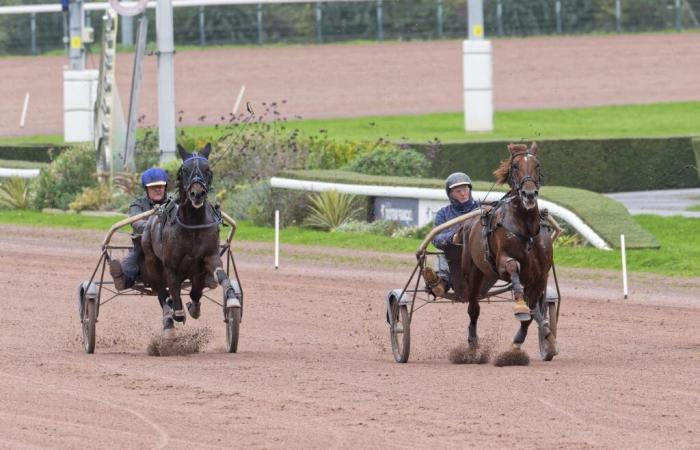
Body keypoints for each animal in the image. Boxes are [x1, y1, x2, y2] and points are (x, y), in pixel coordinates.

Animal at [141, 142, 242, 336]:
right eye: (185, 170)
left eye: (207, 169)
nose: (197, 193)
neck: (193, 224)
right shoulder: (171, 266)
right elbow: (174, 295)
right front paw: (177, 313)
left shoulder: (207, 259)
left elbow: (212, 280)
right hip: (151, 261)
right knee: (162, 292)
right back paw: (169, 317)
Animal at [460, 142, 556, 356]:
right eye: (515, 166)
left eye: (537, 165)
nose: (529, 194)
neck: (527, 229)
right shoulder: (503, 262)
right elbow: (513, 267)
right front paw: (519, 305)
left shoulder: (540, 277)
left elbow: (532, 312)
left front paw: (519, 341)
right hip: (474, 271)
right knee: (473, 308)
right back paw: (472, 342)